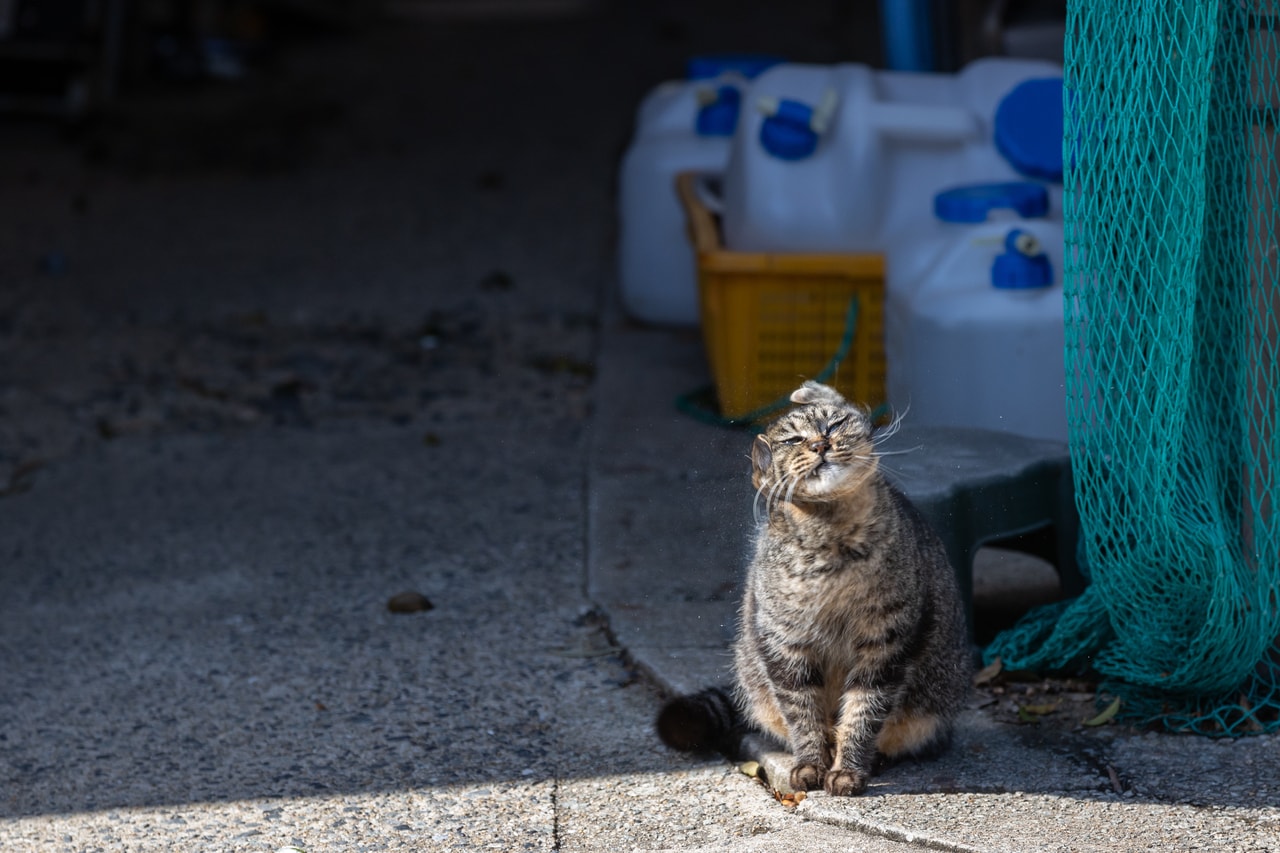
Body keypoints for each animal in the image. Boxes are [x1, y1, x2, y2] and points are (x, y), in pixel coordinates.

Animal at [660, 379, 967, 788]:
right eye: (792, 440)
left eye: (833, 424)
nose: (820, 444)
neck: (832, 540)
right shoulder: (785, 645)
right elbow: (804, 714)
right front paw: (811, 764)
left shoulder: (885, 642)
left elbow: (863, 711)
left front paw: (849, 769)